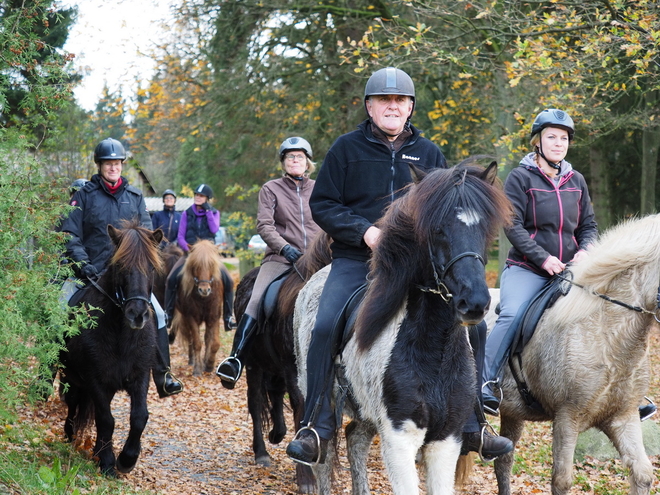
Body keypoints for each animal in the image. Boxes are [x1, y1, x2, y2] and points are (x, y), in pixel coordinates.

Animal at [169, 240, 231, 376]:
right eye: (196, 266)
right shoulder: (191, 317)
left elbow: (214, 342)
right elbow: (197, 343)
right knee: (190, 338)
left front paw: (209, 364)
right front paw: (197, 369)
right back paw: (192, 361)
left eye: (212, 265)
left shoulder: (214, 316)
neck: (204, 298)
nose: (204, 289)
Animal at [235, 232, 332, 492]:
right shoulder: (294, 371)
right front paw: (306, 479)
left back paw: (277, 433)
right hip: (254, 366)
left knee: (276, 395)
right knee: (256, 402)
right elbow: (302, 409)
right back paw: (262, 452)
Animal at [294, 164, 516, 495]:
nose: (475, 302)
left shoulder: (446, 439)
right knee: (323, 455)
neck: (434, 351)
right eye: (437, 229)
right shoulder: (399, 438)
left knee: (355, 439)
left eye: (484, 230)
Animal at [472, 214, 660, 495]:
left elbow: (643, 474)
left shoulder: (623, 417)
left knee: (503, 461)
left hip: (512, 412)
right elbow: (561, 480)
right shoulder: (566, 417)